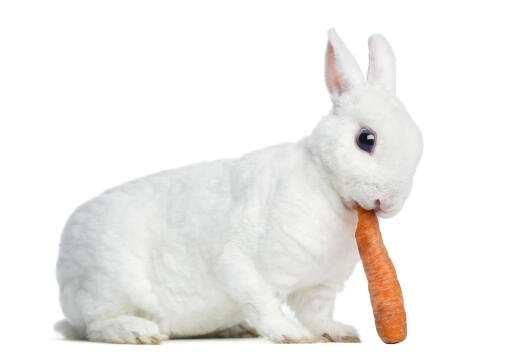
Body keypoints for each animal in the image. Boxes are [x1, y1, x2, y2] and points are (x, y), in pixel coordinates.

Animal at [56, 29, 424, 344]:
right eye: (366, 139)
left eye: (419, 144)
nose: (389, 202)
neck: (324, 184)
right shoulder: (241, 265)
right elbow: (264, 303)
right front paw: (291, 335)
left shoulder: (319, 287)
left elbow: (318, 315)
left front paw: (340, 332)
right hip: (105, 286)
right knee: (96, 326)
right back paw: (137, 332)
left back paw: (234, 329)